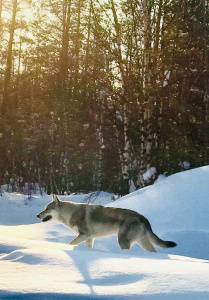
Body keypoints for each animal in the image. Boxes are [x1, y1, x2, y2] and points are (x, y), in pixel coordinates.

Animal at [36, 195, 176, 251]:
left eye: (47, 209)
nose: (37, 215)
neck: (70, 213)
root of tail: (142, 217)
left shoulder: (85, 235)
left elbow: (70, 244)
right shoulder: (89, 238)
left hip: (123, 241)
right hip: (142, 242)